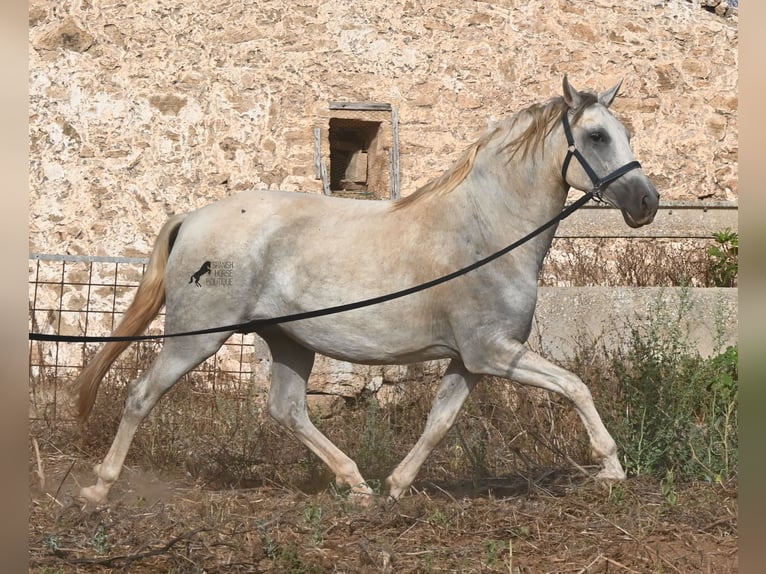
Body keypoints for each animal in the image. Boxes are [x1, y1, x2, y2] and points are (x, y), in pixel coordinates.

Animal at [74, 77, 659, 505]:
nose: (647, 202)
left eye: (626, 131)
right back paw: (99, 488)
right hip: (197, 336)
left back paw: (356, 484)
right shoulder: (493, 352)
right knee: (142, 395)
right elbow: (575, 386)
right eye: (597, 137)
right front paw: (611, 467)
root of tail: (193, 217)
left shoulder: (468, 360)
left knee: (288, 410)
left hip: (288, 340)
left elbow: (439, 422)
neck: (485, 232)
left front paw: (397, 486)